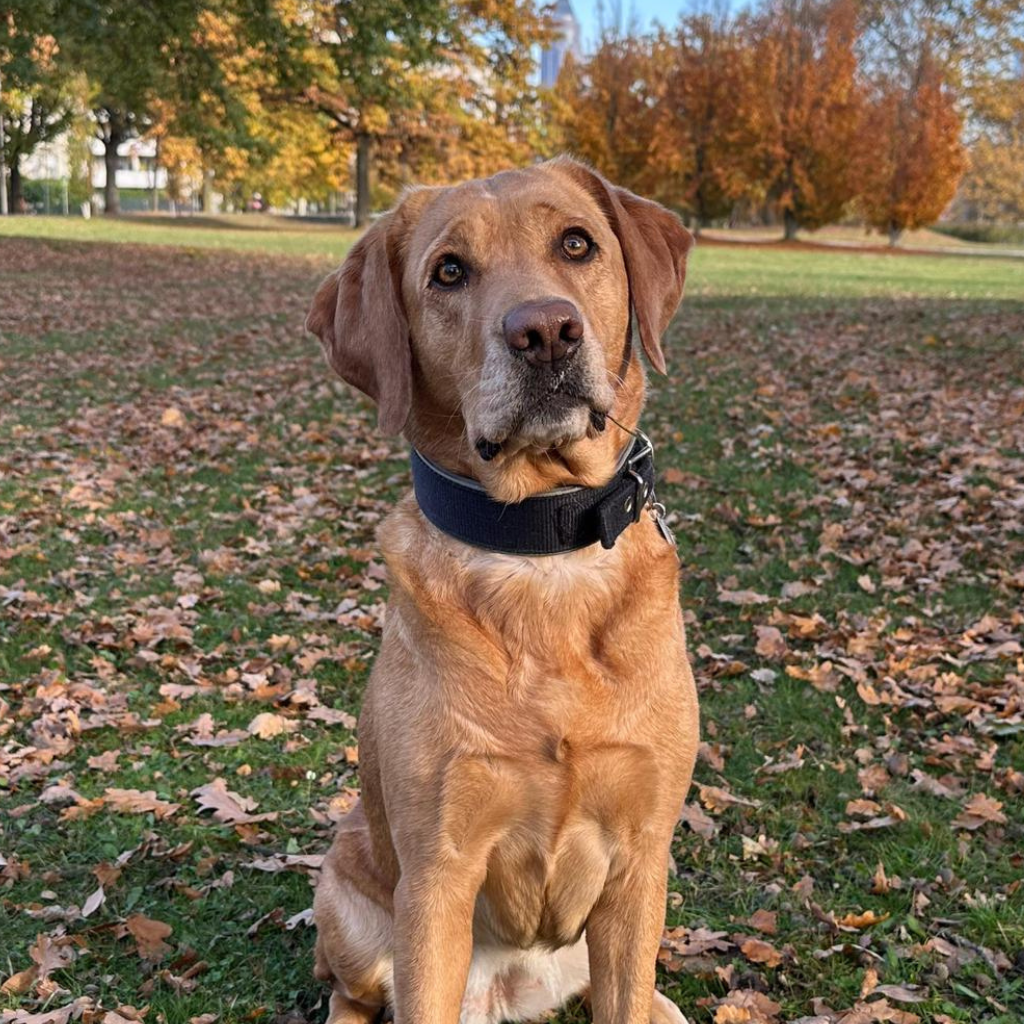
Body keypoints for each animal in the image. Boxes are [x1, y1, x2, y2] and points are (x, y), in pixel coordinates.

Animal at [305, 157, 700, 1024]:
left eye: (577, 243)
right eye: (449, 271)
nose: (546, 331)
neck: (540, 553)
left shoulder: (641, 861)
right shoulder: (438, 875)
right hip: (346, 896)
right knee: (347, 990)